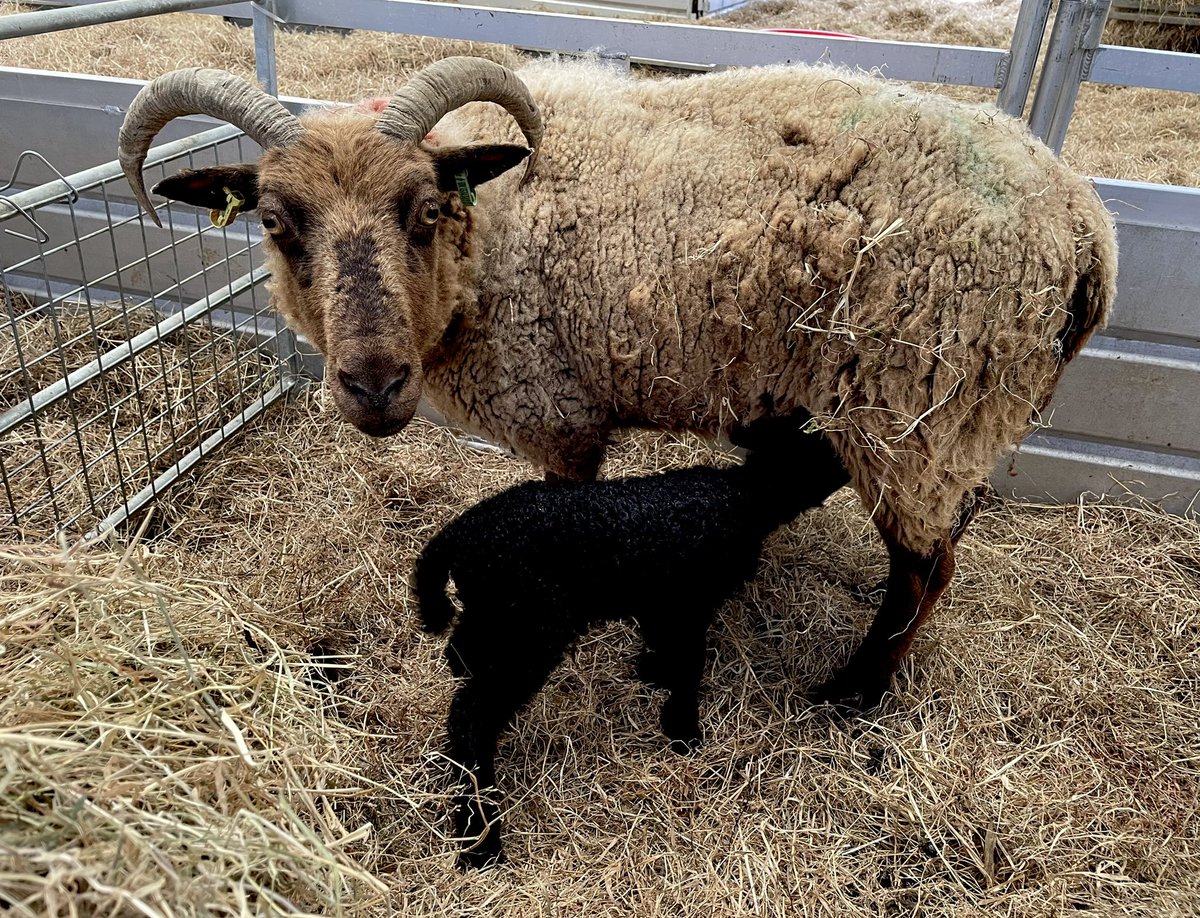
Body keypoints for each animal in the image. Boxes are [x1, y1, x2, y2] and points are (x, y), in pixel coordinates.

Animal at [417, 412, 849, 868]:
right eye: (825, 444)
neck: (748, 495)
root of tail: (454, 538)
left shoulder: (661, 602)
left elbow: (663, 646)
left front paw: (652, 676)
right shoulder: (689, 601)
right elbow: (690, 663)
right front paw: (684, 731)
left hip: (495, 612)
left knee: (461, 650)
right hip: (531, 627)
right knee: (470, 715)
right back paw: (480, 837)